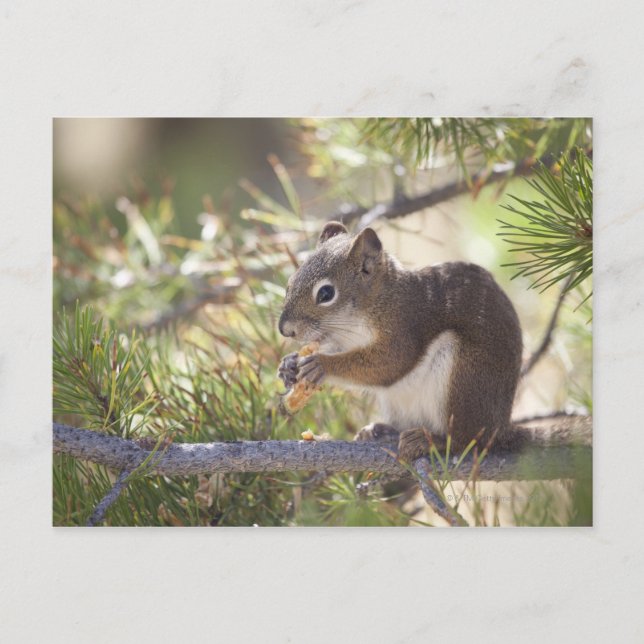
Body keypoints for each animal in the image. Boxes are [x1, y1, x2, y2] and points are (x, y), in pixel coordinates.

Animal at [277, 221, 524, 462]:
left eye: (326, 294)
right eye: (290, 282)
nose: (285, 330)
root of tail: (500, 429)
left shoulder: (403, 327)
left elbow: (390, 364)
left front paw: (321, 365)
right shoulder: (344, 340)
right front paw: (289, 365)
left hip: (464, 380)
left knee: (468, 441)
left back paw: (432, 441)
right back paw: (382, 431)